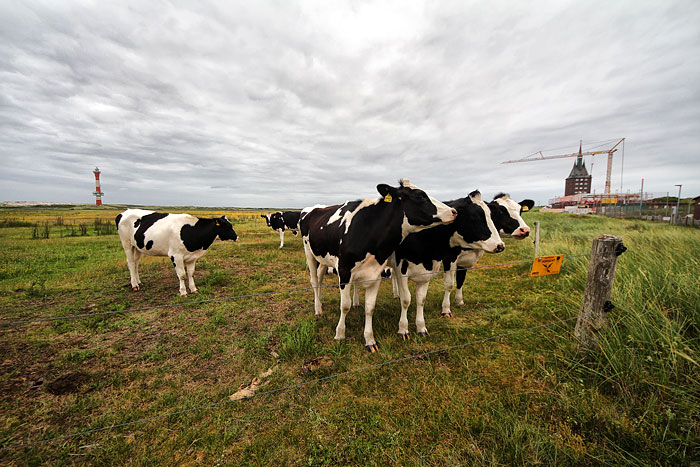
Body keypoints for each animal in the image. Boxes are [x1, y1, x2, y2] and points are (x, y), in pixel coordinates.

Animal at [298, 179, 456, 352]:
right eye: (420, 196)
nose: (454, 211)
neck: (369, 231)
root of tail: (314, 208)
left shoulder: (375, 273)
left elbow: (370, 307)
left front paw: (370, 340)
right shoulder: (345, 270)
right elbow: (344, 305)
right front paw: (339, 334)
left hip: (323, 258)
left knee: (320, 278)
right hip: (309, 253)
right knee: (314, 281)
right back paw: (318, 309)